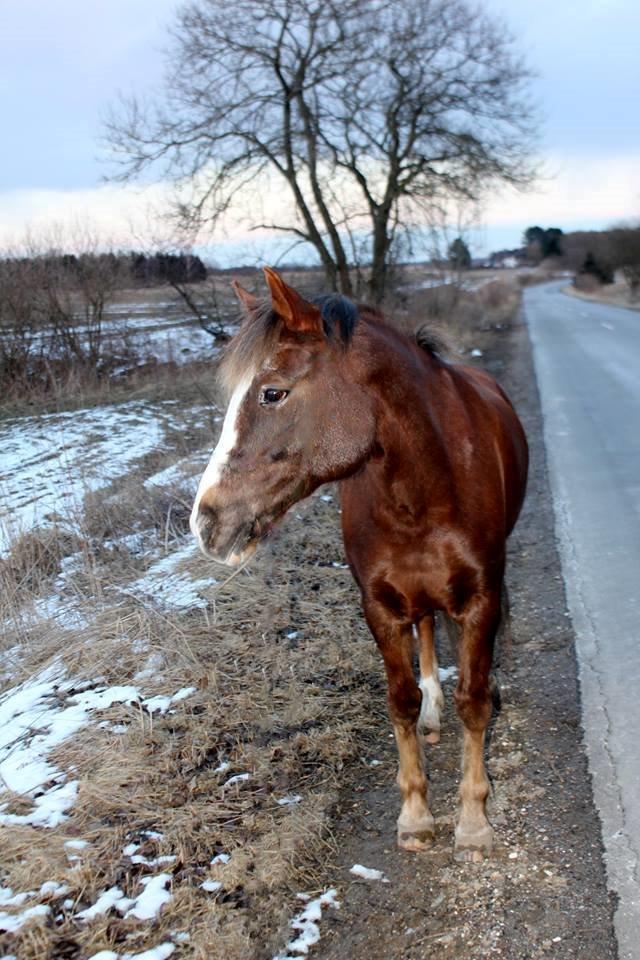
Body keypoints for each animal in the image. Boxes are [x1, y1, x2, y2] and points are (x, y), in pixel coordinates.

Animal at [191, 270, 528, 864]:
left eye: (272, 392)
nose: (206, 521)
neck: (425, 491)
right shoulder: (380, 606)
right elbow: (400, 702)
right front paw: (415, 815)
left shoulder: (481, 600)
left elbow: (475, 702)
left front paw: (472, 821)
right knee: (425, 630)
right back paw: (433, 711)